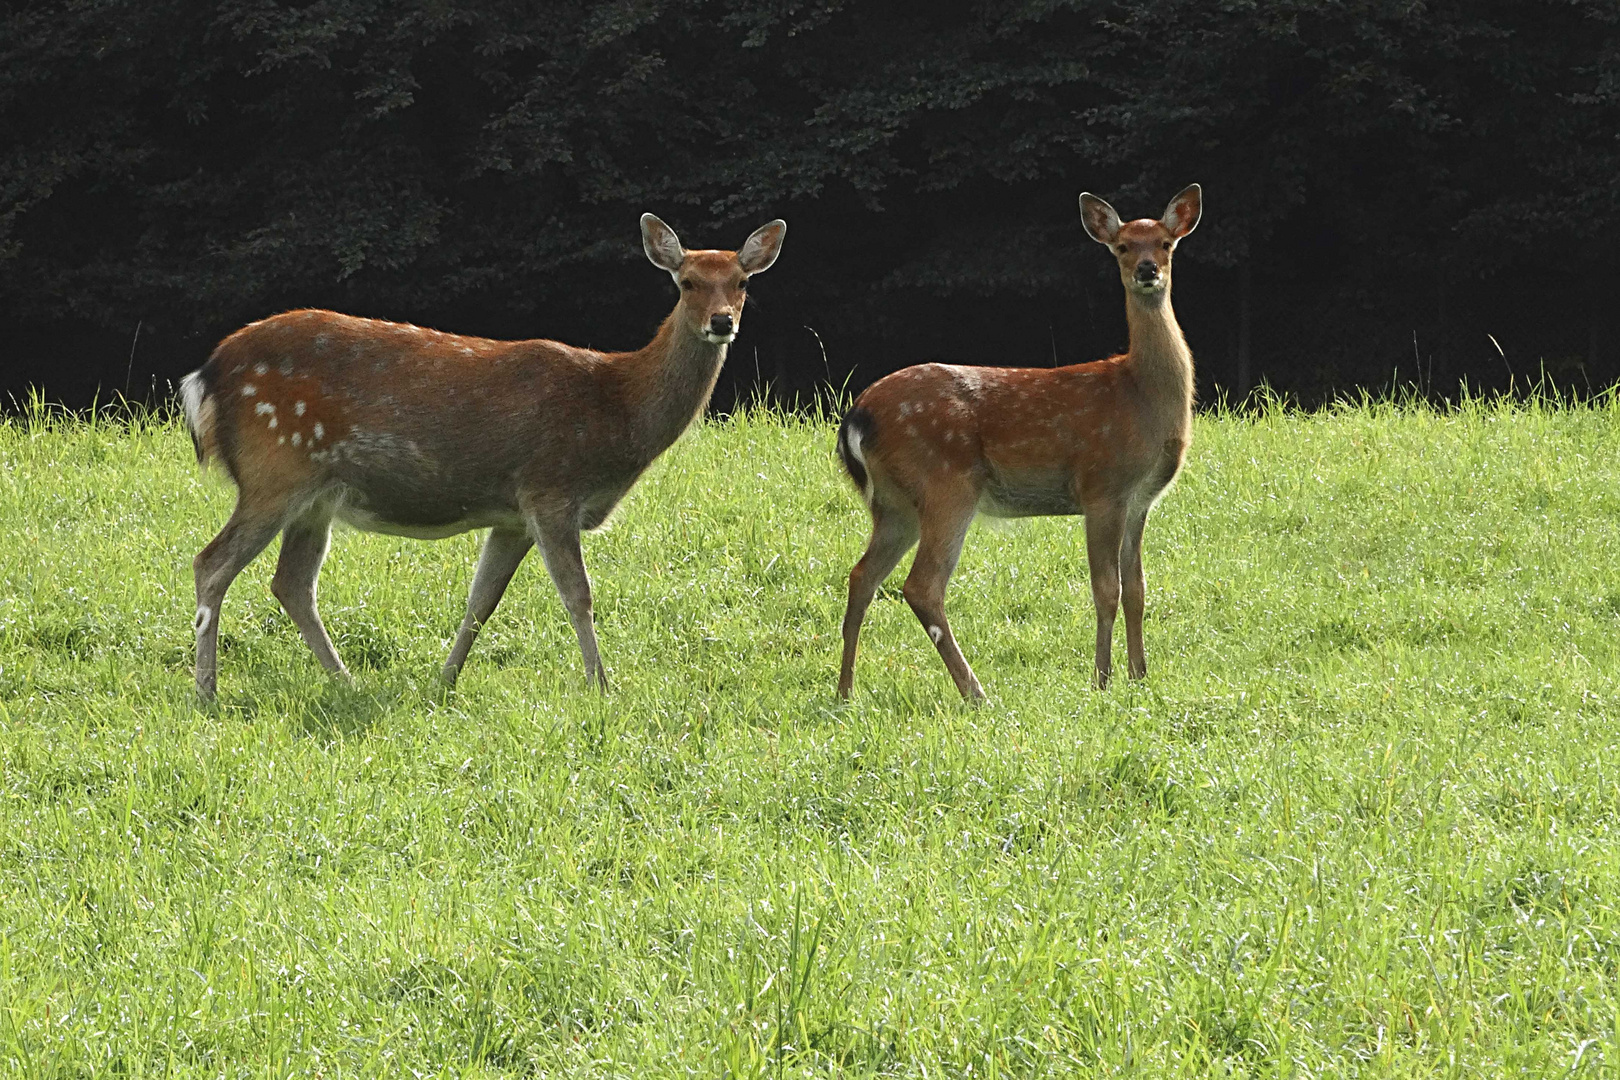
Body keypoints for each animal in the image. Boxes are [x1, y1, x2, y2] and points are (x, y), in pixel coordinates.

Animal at [177, 212, 784, 702]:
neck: (616, 409)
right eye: (686, 282)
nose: (722, 321)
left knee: (291, 582)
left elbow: (481, 600)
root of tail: (203, 377)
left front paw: (445, 680)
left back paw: (345, 680)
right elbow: (579, 596)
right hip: (274, 469)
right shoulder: (550, 488)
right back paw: (207, 689)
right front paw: (602, 685)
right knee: (212, 563)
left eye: (742, 282)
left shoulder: (512, 513)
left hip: (317, 495)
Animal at [835, 183, 1205, 702]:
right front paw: (1102, 680)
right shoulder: (1102, 487)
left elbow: (1137, 589)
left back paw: (845, 691)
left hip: (894, 503)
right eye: (1122, 246)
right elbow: (1106, 589)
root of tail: (857, 416)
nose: (1147, 270)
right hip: (946, 483)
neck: (1140, 397)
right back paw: (976, 693)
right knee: (922, 586)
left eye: (1167, 244)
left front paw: (1140, 676)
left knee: (862, 575)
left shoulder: (1140, 501)